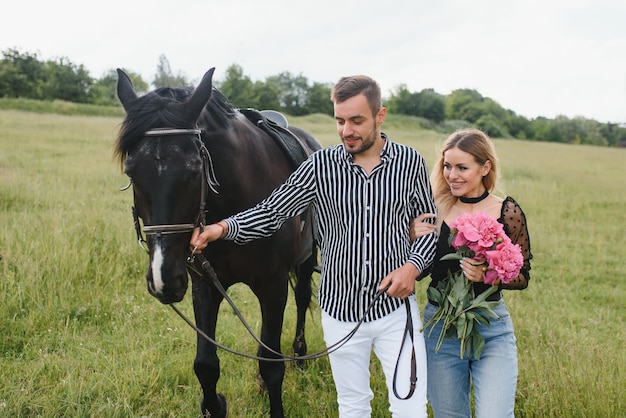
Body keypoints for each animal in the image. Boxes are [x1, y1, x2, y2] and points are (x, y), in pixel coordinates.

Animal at [114, 68, 322, 418]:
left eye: (194, 169)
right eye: (130, 171)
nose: (162, 279)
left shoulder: (274, 285)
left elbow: (272, 364)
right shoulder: (204, 284)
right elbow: (206, 365)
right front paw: (215, 406)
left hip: (307, 261)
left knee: (303, 296)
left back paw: (300, 357)